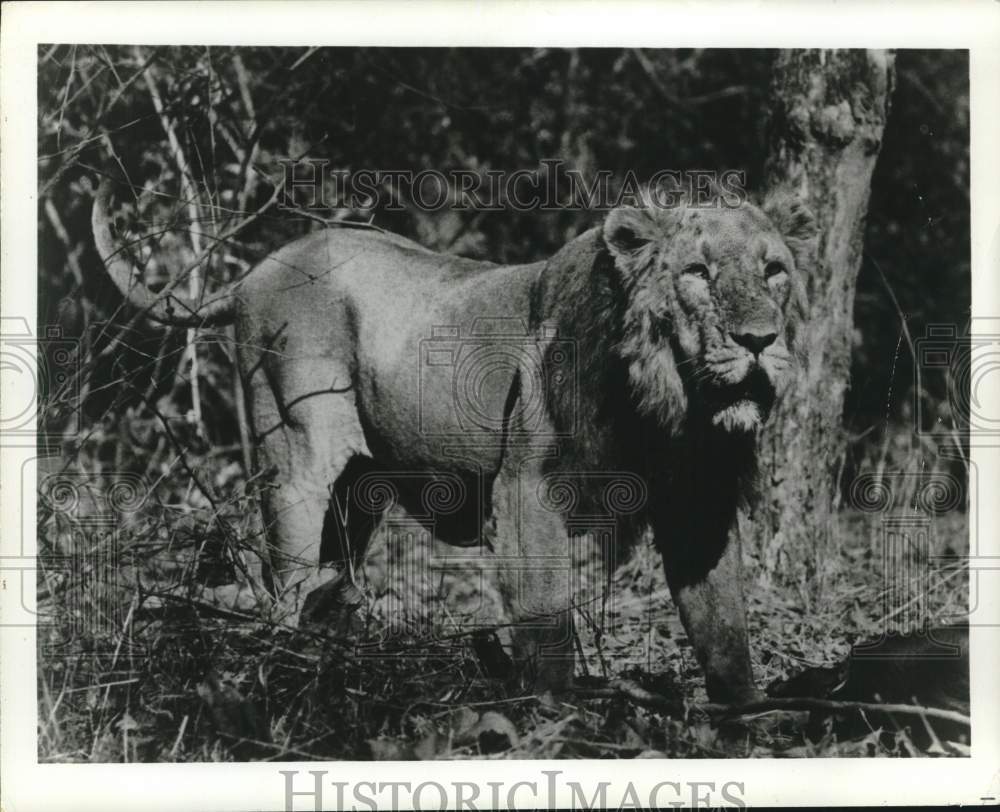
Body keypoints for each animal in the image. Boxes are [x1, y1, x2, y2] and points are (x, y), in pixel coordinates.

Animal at [92, 178, 814, 702]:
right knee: (286, 578)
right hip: (294, 450)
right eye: (697, 272)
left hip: (361, 487)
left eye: (774, 270)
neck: (668, 403)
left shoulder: (698, 503)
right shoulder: (529, 490)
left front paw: (745, 716)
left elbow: (723, 623)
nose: (759, 339)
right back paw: (295, 665)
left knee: (332, 570)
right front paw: (556, 714)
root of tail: (259, 265)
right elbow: (547, 618)